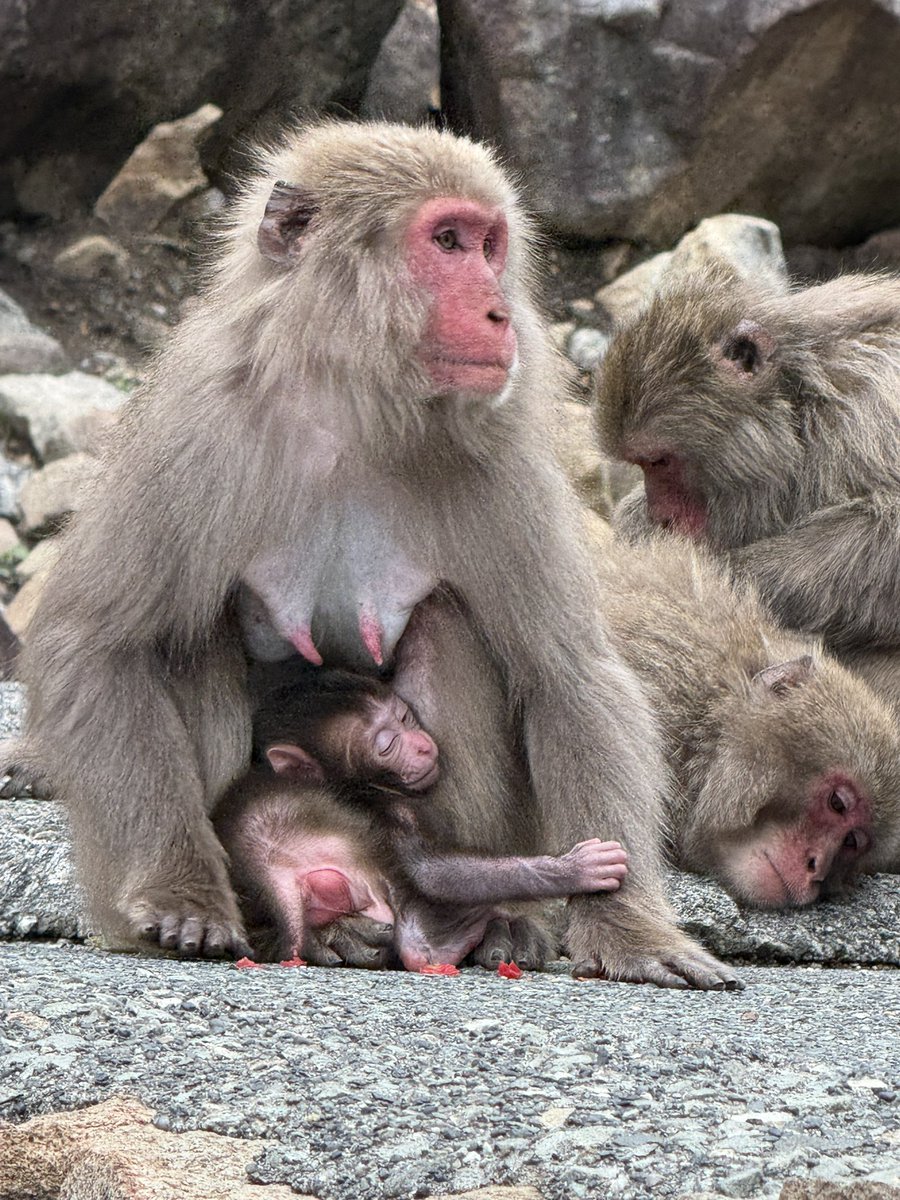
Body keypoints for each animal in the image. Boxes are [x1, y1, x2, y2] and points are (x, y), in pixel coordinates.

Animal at [215, 668, 629, 968]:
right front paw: (572, 869)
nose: (421, 746)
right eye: (387, 745)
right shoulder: (388, 806)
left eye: (404, 717)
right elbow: (428, 870)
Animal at [594, 264, 900, 705]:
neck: (802, 404)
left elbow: (888, 534)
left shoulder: (870, 412)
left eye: (660, 461)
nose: (661, 514)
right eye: (642, 465)